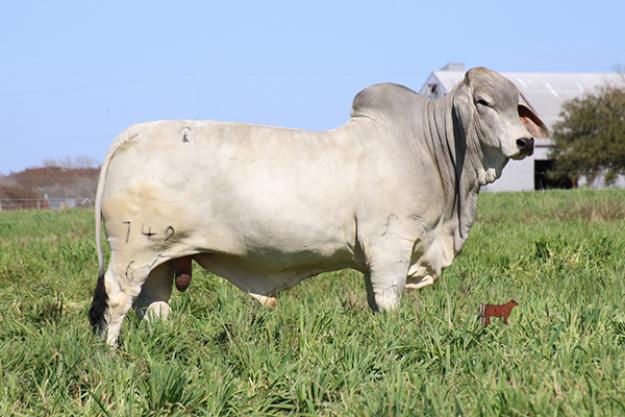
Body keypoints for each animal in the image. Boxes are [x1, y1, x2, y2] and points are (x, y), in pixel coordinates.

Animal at [89, 67, 549, 346]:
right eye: (483, 102)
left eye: (518, 105)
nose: (525, 142)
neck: (431, 150)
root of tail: (135, 132)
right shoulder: (391, 246)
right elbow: (389, 301)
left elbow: (375, 302)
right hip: (133, 251)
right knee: (116, 298)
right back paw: (111, 353)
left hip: (163, 258)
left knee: (154, 306)